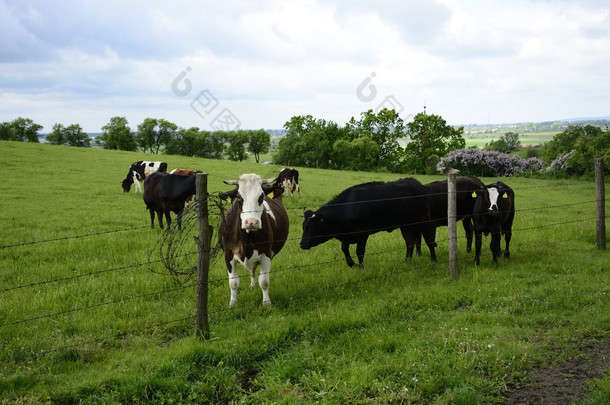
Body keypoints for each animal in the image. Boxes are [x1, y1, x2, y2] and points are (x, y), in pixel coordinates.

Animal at [217, 171, 288, 306]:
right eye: (239, 197)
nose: (251, 222)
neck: (246, 237)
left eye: (261, 196)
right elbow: (233, 283)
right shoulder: (228, 254)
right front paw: (232, 304)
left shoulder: (266, 254)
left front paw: (266, 303)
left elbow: (264, 281)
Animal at [300, 178, 436, 266]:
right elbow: (344, 248)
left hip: (424, 219)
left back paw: (434, 260)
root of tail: (417, 183)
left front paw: (361, 266)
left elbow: (359, 252)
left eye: (310, 227)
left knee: (429, 240)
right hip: (406, 225)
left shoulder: (363, 233)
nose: (301, 244)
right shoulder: (347, 235)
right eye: (303, 226)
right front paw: (351, 263)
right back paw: (407, 261)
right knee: (410, 243)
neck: (347, 208)